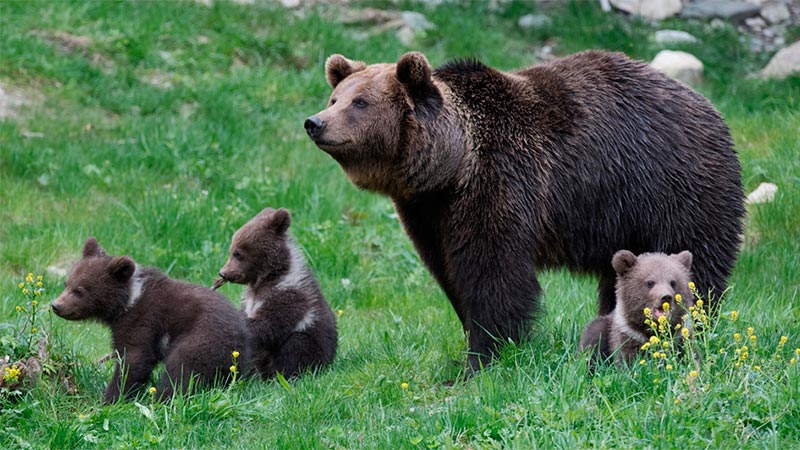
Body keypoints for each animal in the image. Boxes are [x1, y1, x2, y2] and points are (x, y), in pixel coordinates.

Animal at [51, 237, 249, 403]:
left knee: (182, 368)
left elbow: (134, 359)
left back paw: (163, 398)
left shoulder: (142, 321)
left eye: (79, 290)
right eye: (66, 283)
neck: (128, 301)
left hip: (202, 338)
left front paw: (112, 398)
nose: (56, 305)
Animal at [214, 207, 337, 379]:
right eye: (231, 251)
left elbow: (269, 323)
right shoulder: (249, 300)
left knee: (296, 347)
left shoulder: (288, 293)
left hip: (313, 342)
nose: (223, 273)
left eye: (238, 253)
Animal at [304, 50, 745, 372]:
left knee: (696, 258)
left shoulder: (502, 182)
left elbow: (494, 275)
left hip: (674, 187)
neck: (451, 167)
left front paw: (482, 358)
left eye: (360, 102)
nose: (315, 122)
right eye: (334, 98)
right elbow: (449, 274)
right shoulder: (427, 213)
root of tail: (711, 108)